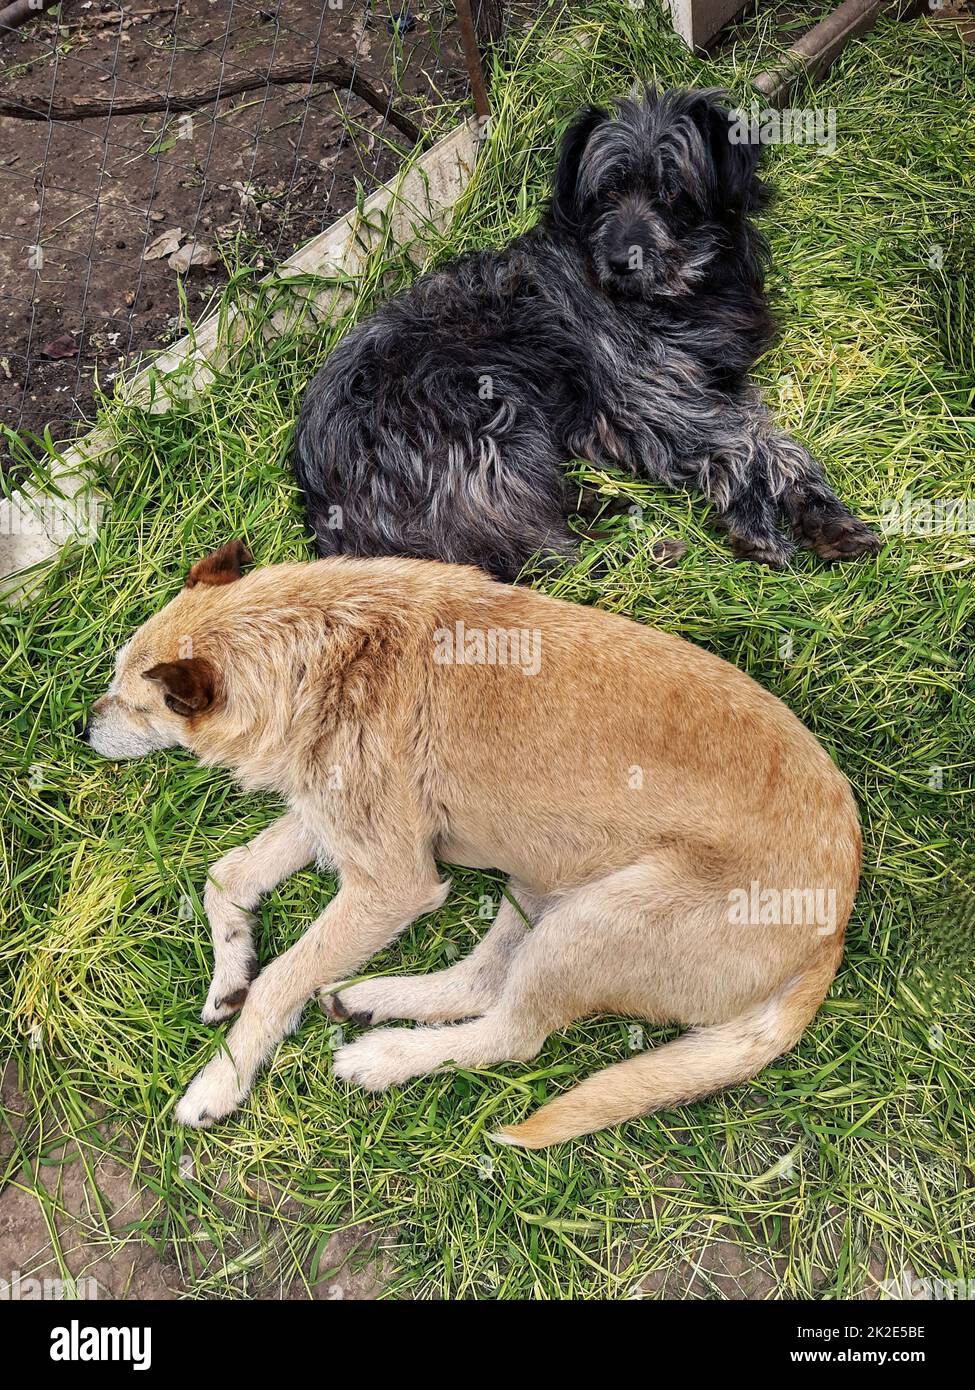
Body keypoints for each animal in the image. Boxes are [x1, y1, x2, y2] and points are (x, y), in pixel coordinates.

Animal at [85, 536, 856, 1145]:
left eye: (135, 702)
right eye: (116, 680)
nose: (83, 726)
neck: (324, 647)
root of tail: (833, 928)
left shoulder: (392, 882)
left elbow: (280, 979)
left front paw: (222, 1079)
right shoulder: (330, 819)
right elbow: (228, 875)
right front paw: (228, 975)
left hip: (592, 923)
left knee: (513, 1035)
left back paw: (383, 1058)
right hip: (541, 887)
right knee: (483, 981)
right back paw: (371, 998)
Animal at [293, 86, 879, 578]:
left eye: (672, 192)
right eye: (604, 194)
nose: (621, 260)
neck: (677, 294)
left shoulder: (706, 384)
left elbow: (769, 438)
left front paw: (821, 513)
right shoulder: (647, 399)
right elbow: (745, 445)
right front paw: (760, 519)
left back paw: (610, 505)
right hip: (497, 419)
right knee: (541, 555)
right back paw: (644, 546)